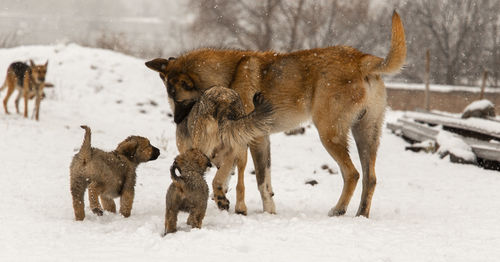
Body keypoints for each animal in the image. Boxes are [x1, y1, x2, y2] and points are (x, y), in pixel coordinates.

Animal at [146, 11, 406, 217]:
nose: (177, 121)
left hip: (329, 134)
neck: (228, 75)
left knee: (352, 174)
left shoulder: (252, 139)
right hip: (366, 135)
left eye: (178, 100)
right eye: (170, 98)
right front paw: (263, 210)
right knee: (370, 178)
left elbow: (258, 180)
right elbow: (258, 181)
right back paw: (361, 215)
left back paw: (338, 210)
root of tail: (362, 59)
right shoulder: (259, 140)